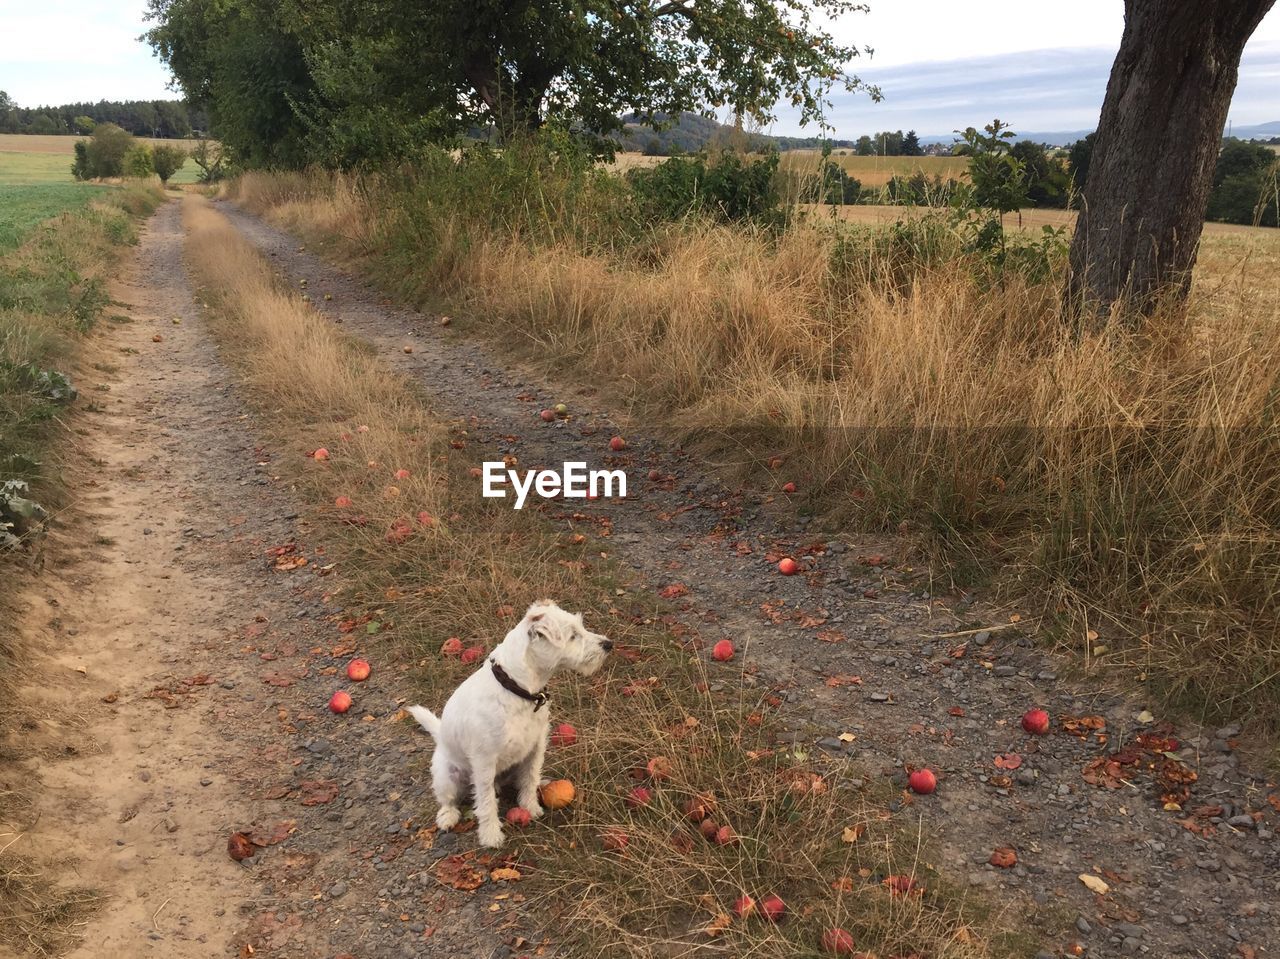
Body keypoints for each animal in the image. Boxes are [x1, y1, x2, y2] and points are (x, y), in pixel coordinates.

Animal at [407, 599, 611, 845]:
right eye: (572, 635)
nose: (609, 644)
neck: (516, 689)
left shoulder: (536, 747)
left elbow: (530, 778)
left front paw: (530, 806)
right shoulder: (484, 760)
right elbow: (485, 801)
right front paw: (490, 835)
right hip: (446, 776)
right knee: (449, 799)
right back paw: (448, 816)